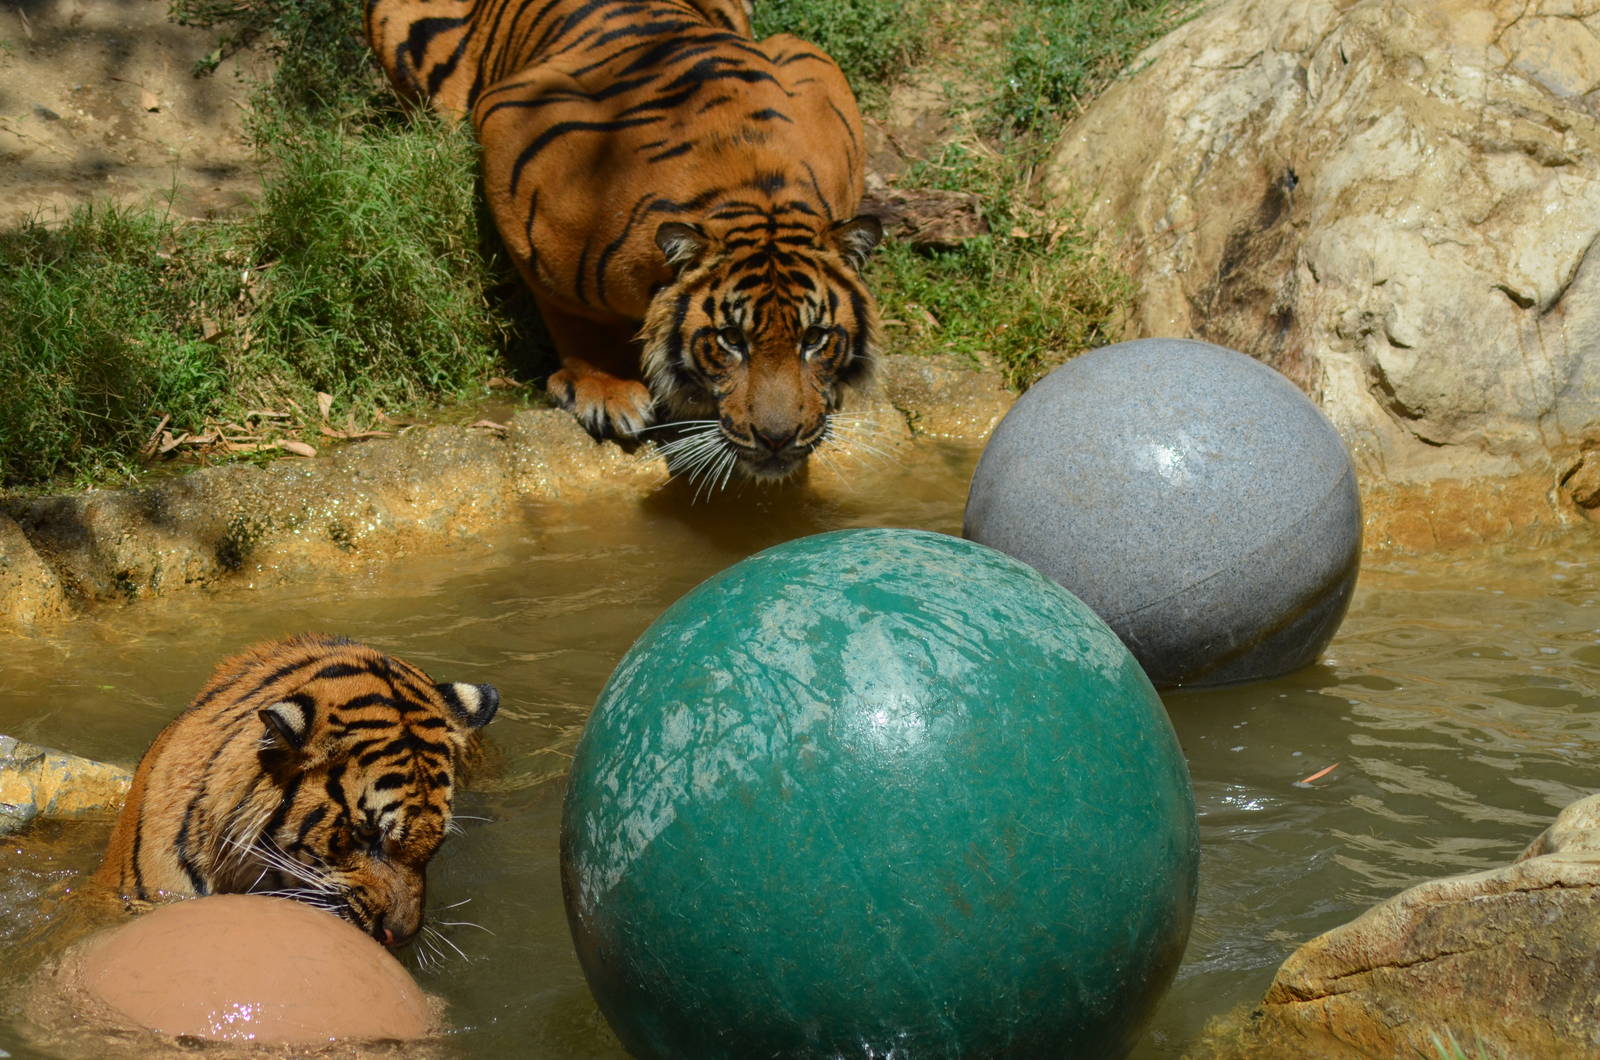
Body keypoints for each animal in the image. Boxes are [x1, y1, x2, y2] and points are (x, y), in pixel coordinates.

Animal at [363, 0, 884, 481]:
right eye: (731, 339)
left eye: (814, 339)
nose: (778, 438)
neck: (753, 192)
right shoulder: (514, 137)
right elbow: (573, 310)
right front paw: (608, 391)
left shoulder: (815, 67)